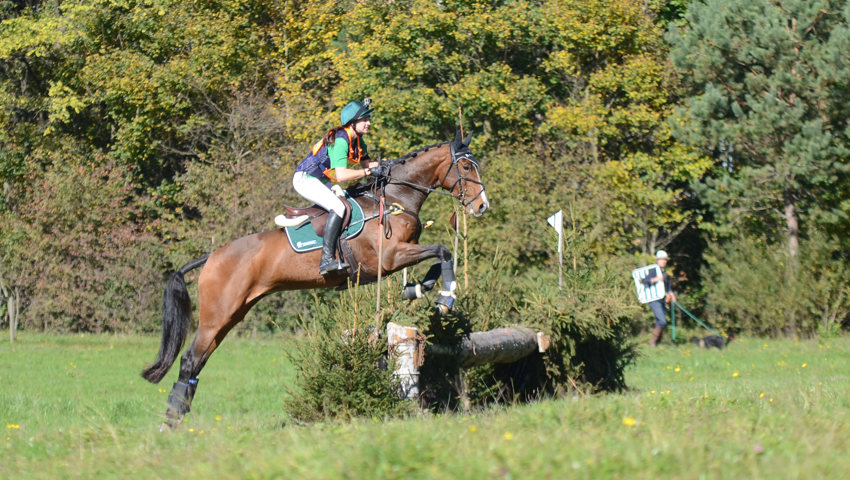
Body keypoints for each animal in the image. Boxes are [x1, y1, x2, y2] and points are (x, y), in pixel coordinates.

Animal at [137, 129, 484, 426]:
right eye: (466, 165)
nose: (482, 206)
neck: (396, 198)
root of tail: (212, 257)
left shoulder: (400, 255)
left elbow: (437, 258)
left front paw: (417, 289)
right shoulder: (390, 256)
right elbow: (442, 251)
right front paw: (446, 297)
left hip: (232, 314)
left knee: (199, 360)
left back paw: (177, 414)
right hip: (217, 314)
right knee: (190, 359)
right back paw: (170, 421)